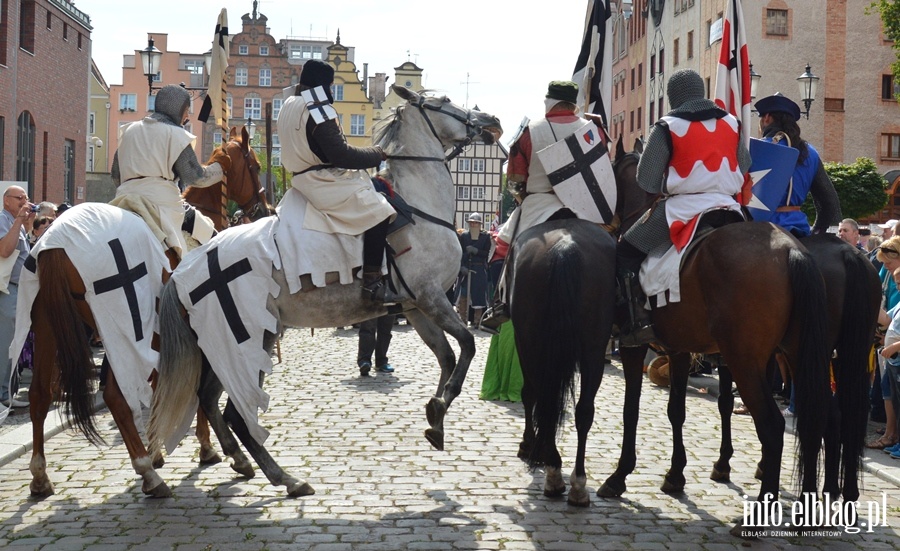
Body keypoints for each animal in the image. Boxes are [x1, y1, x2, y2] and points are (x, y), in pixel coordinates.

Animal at [22, 130, 266, 500]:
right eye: (255, 165)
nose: (266, 208)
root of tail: (57, 245)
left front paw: (159, 448)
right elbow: (193, 388)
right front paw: (207, 448)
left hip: (50, 326)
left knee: (40, 395)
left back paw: (40, 477)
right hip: (119, 328)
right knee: (114, 395)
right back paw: (148, 474)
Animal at [153, 85, 506, 496]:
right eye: (445, 102)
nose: (492, 122)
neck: (419, 208)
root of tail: (188, 268)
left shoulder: (416, 307)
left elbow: (448, 356)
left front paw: (436, 416)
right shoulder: (431, 298)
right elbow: (467, 345)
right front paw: (440, 406)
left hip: (219, 345)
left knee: (209, 400)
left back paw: (242, 462)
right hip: (251, 339)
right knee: (236, 413)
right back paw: (285, 478)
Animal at [600, 141, 832, 536]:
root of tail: (790, 251)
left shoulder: (635, 346)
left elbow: (631, 410)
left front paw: (618, 476)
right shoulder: (678, 350)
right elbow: (675, 411)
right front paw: (675, 475)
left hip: (746, 363)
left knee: (772, 426)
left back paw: (758, 515)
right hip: (795, 356)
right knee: (812, 423)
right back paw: (807, 512)